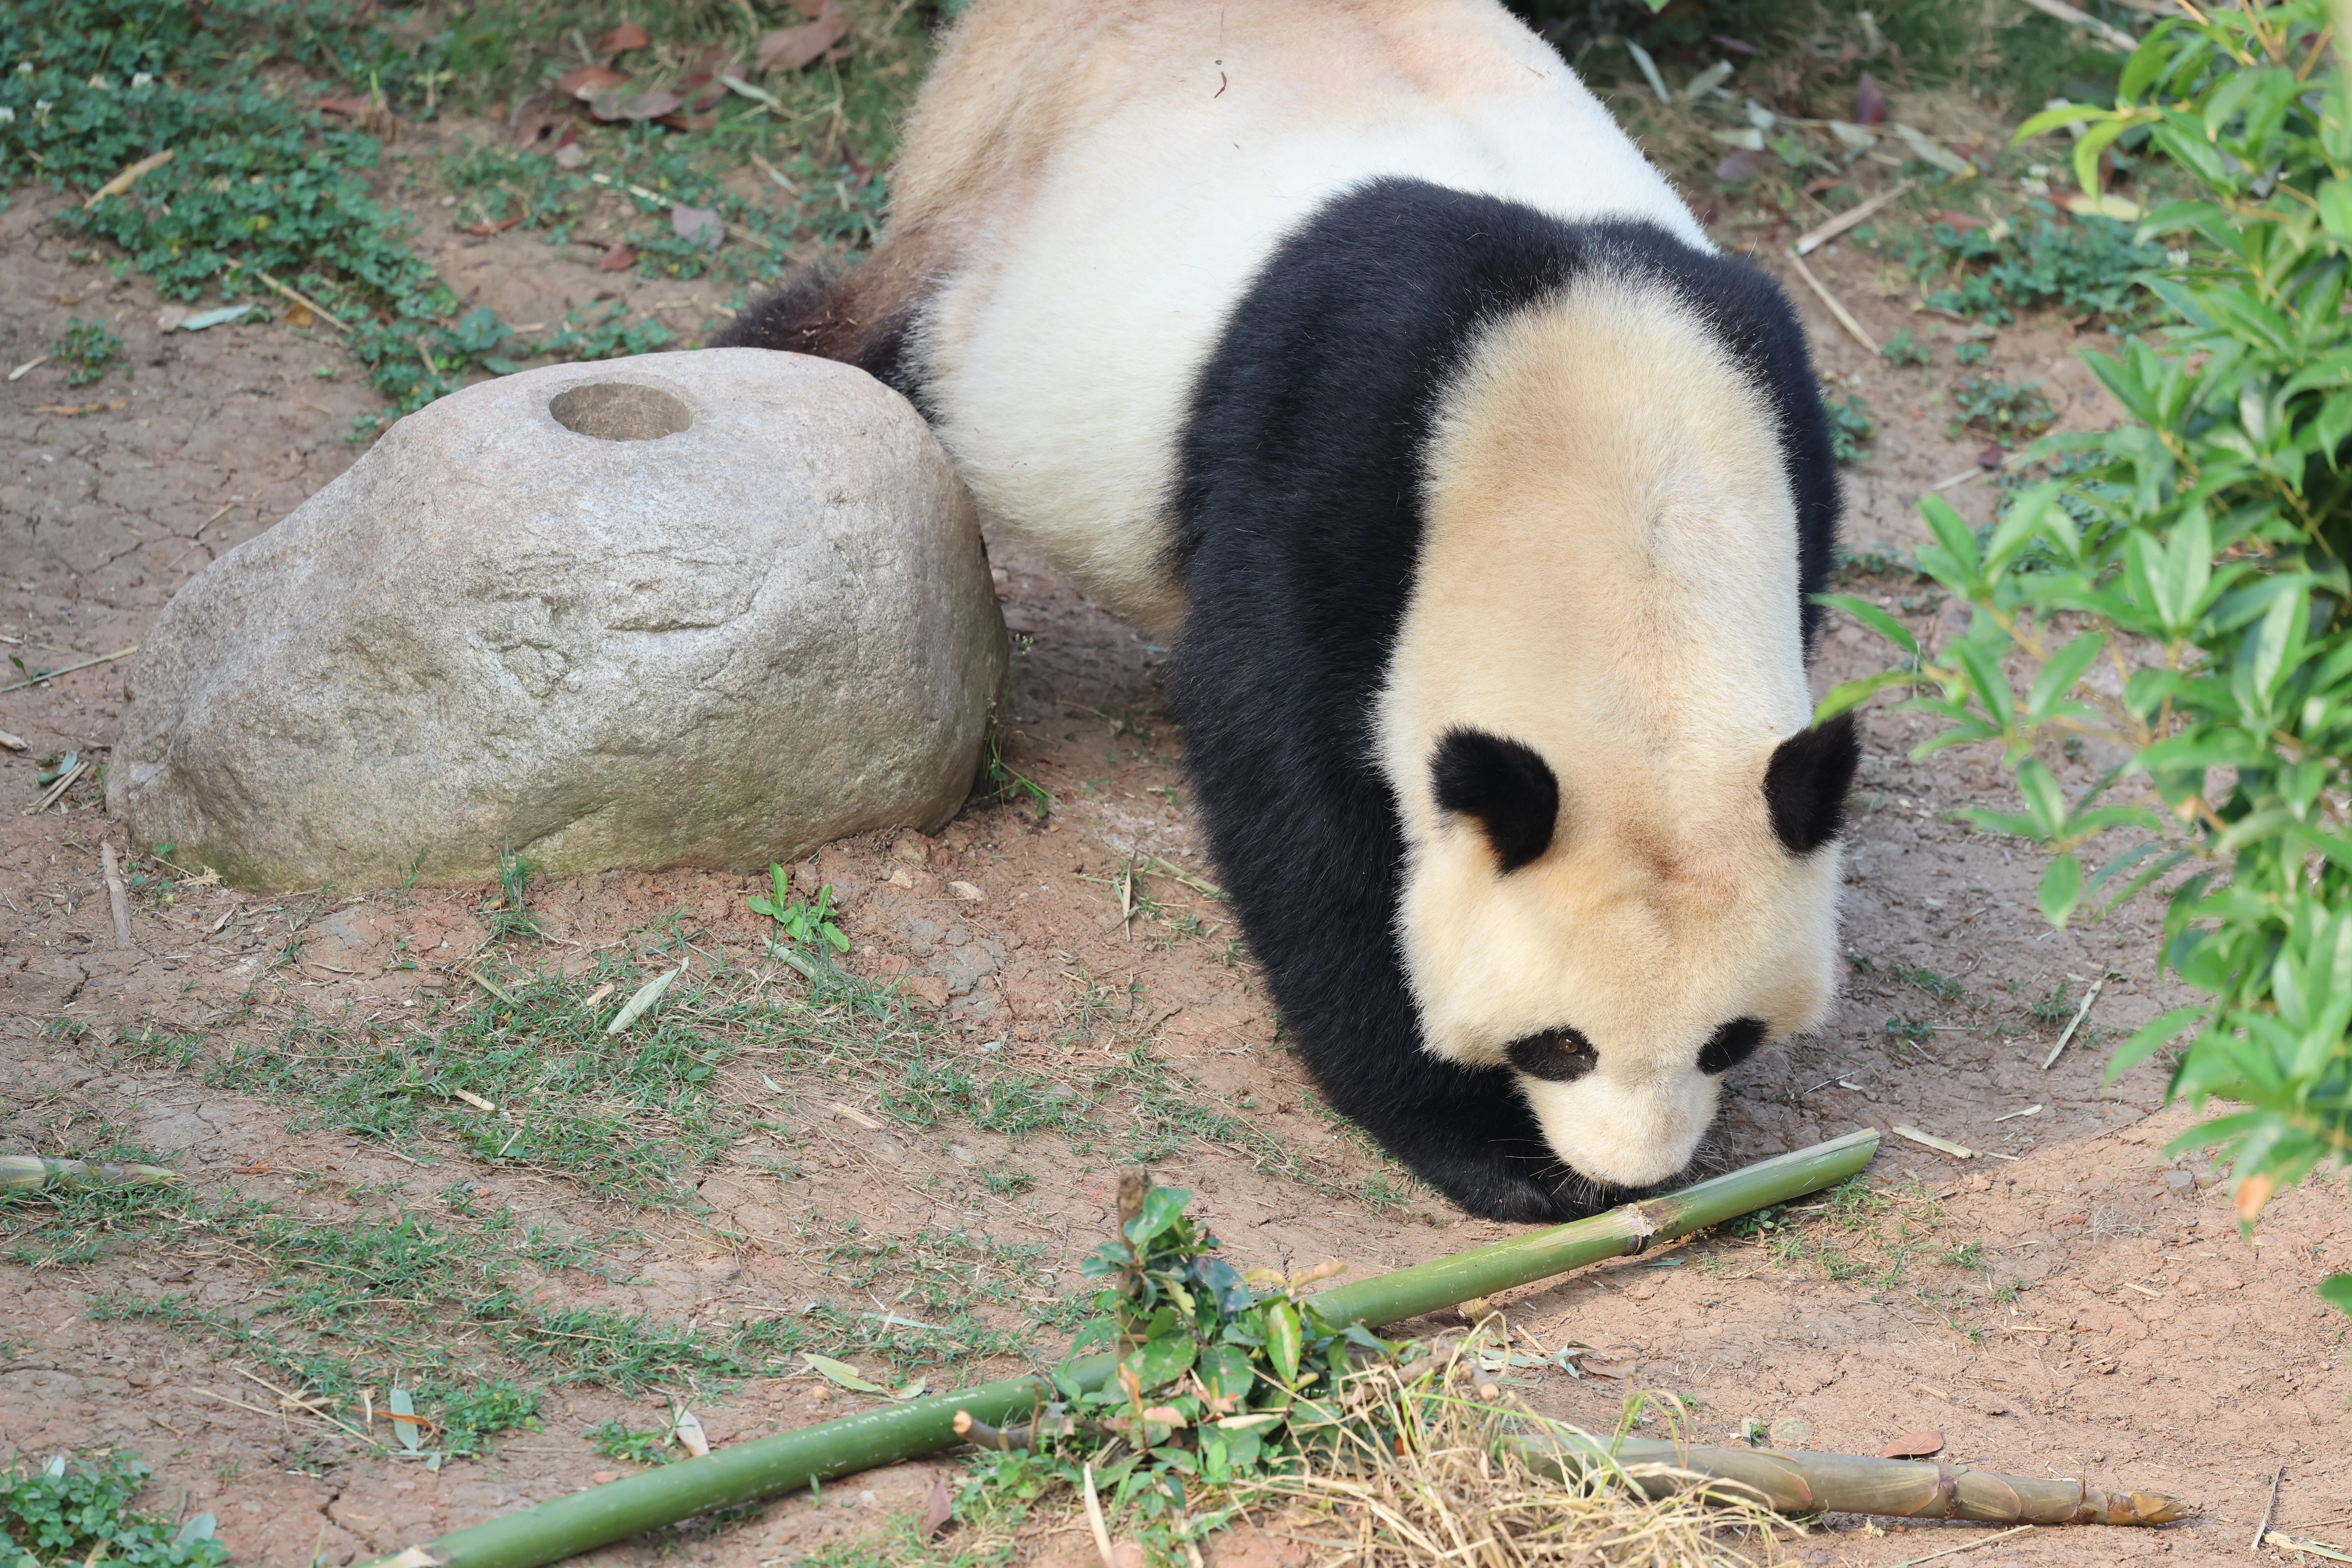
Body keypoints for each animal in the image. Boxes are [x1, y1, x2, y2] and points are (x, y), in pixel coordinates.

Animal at [716, 0, 1859, 1223]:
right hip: (987, 233)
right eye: (1560, 1045)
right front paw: (1478, 1143)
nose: (1623, 1177)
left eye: (1729, 1039)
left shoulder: (1781, 418)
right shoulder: (1333, 443)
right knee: (854, 338)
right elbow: (1290, 778)